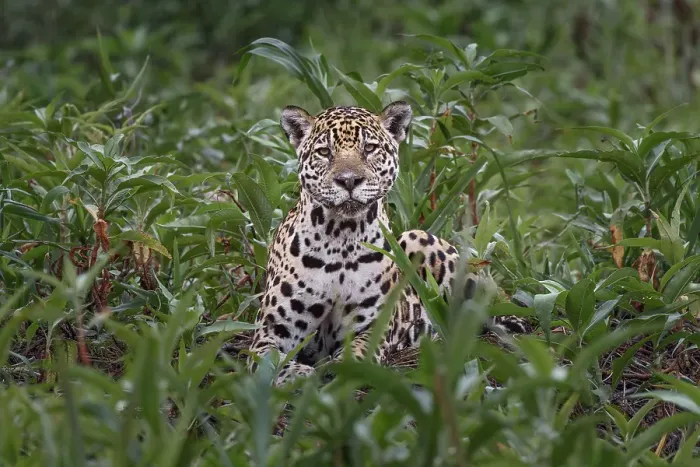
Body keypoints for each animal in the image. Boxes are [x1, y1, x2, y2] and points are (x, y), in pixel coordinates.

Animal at [247, 101, 527, 385]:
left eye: (369, 148)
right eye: (324, 152)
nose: (349, 180)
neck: (340, 238)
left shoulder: (372, 328)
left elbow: (356, 357)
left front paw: (337, 371)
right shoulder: (271, 330)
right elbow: (267, 361)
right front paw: (298, 375)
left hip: (421, 239)